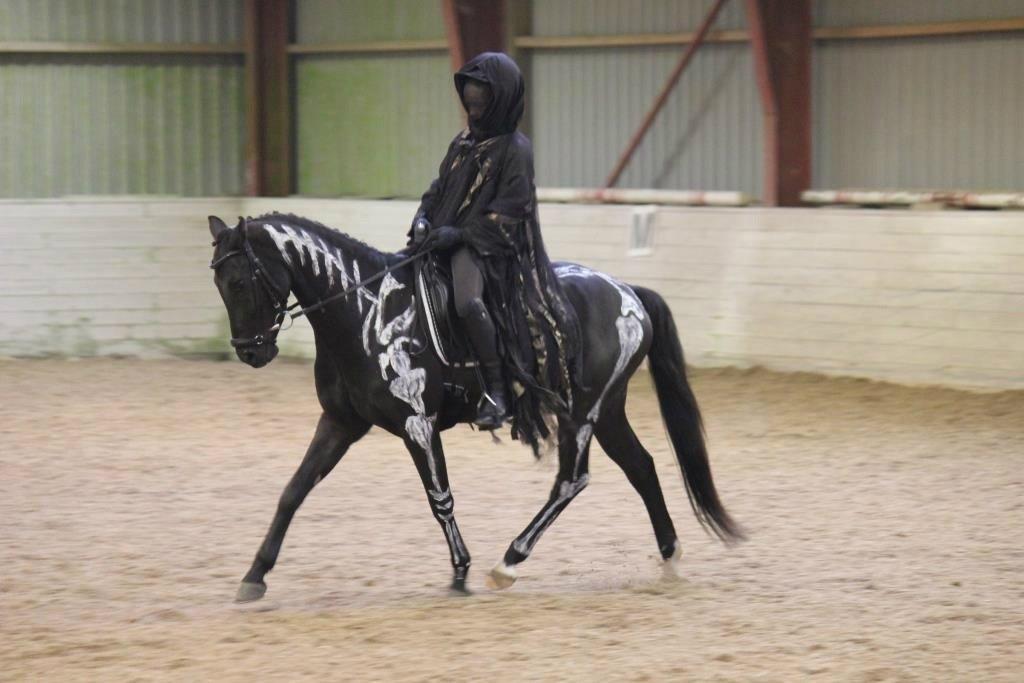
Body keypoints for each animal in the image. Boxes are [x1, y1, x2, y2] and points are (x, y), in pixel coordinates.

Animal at [207, 212, 743, 602]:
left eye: (240, 283)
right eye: (219, 284)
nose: (251, 352)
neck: (367, 310)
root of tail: (627, 291)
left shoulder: (417, 423)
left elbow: (439, 497)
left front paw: (460, 572)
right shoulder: (341, 422)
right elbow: (293, 491)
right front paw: (255, 575)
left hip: (582, 411)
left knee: (572, 479)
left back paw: (507, 562)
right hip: (607, 411)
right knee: (641, 467)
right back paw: (670, 556)